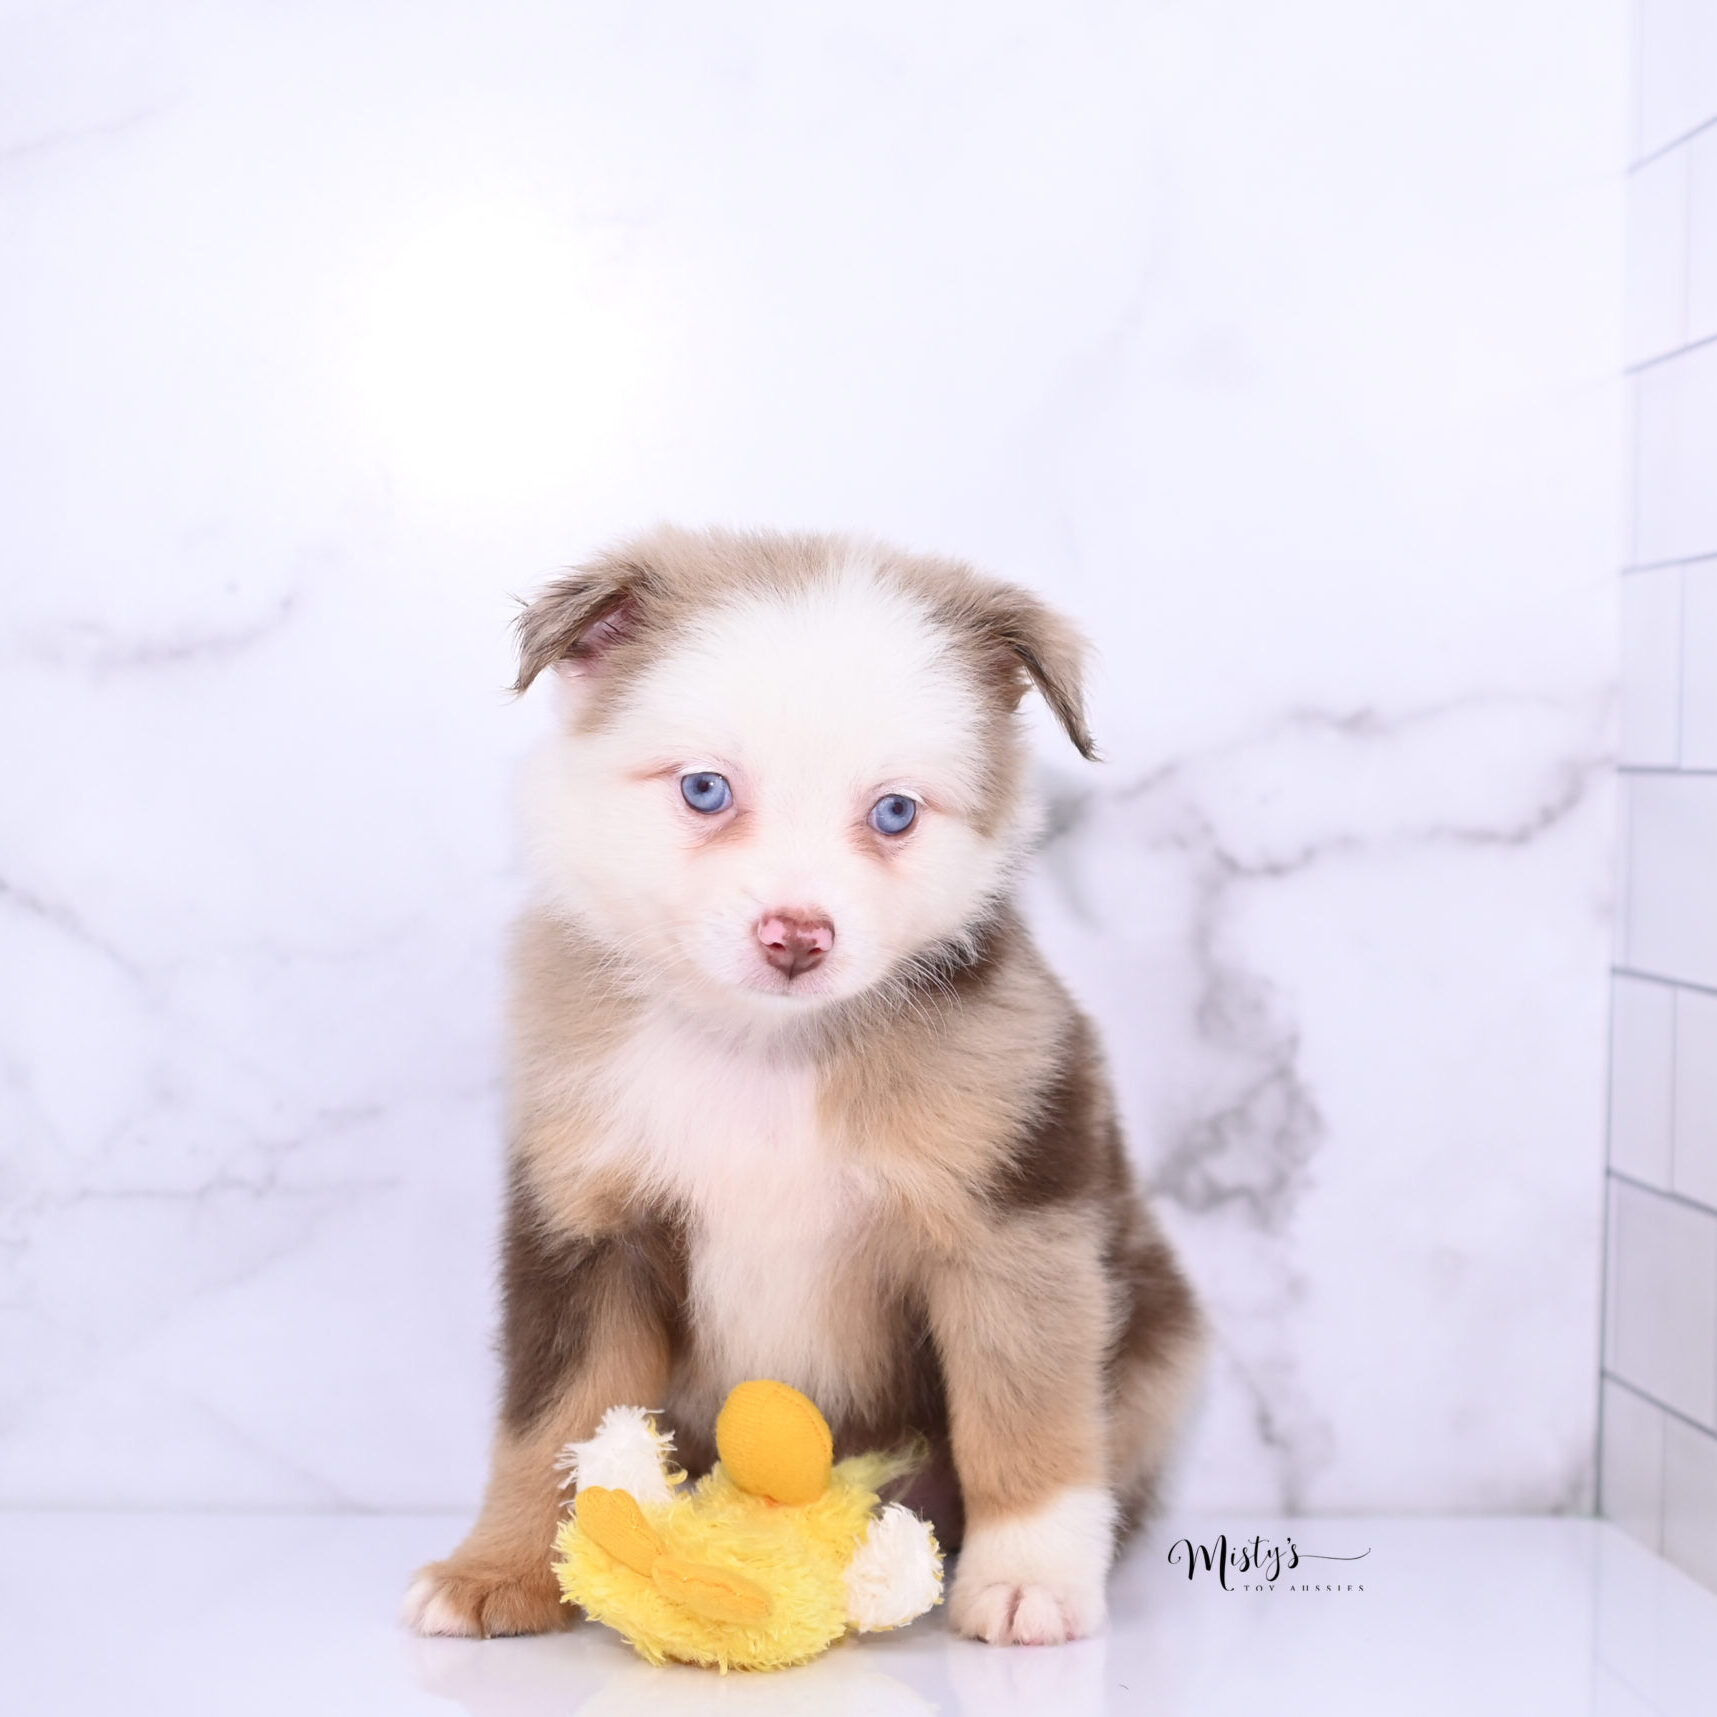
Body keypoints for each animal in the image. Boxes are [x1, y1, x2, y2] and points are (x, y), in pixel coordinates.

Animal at [406, 525, 1201, 1648]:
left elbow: (1024, 1404)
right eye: (705, 790)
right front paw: (501, 1569)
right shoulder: (585, 1218)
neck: (765, 1047)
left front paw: (1028, 1578)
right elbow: (554, 1413)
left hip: (1164, 1343)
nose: (795, 935)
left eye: (895, 811)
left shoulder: (1012, 1214)